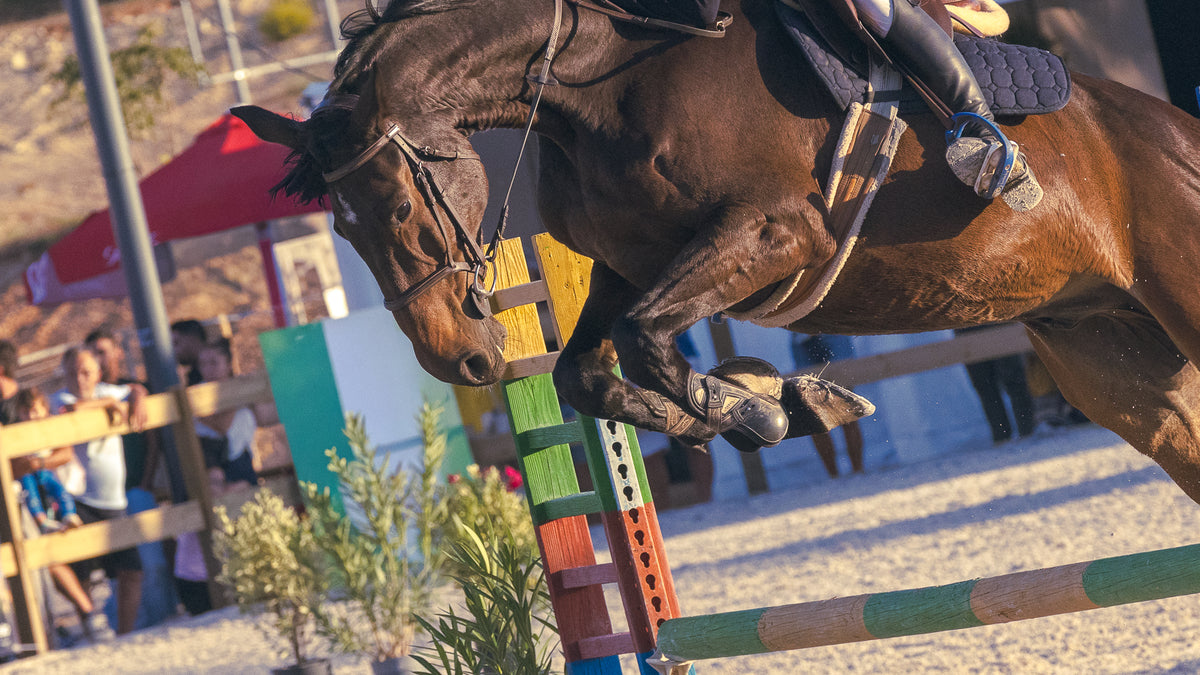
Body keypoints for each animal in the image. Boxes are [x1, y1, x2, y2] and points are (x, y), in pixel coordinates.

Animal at [233, 0, 1200, 504]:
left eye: (398, 206)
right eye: (342, 232)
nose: (458, 360)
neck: (598, 75)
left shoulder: (778, 232)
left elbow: (649, 341)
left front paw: (764, 405)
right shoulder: (627, 263)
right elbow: (591, 371)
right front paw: (769, 404)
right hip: (1120, 366)